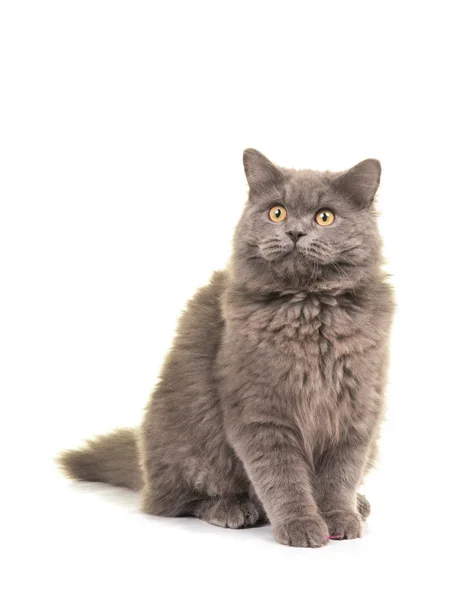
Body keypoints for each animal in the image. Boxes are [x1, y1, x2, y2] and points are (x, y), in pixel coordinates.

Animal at [59, 150, 394, 548]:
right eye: (276, 212)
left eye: (325, 216)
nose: (295, 232)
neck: (308, 310)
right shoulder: (261, 413)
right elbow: (283, 477)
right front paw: (301, 525)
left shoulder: (356, 410)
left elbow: (340, 475)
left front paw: (339, 517)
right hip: (190, 443)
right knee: (176, 501)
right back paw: (233, 509)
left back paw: (359, 504)